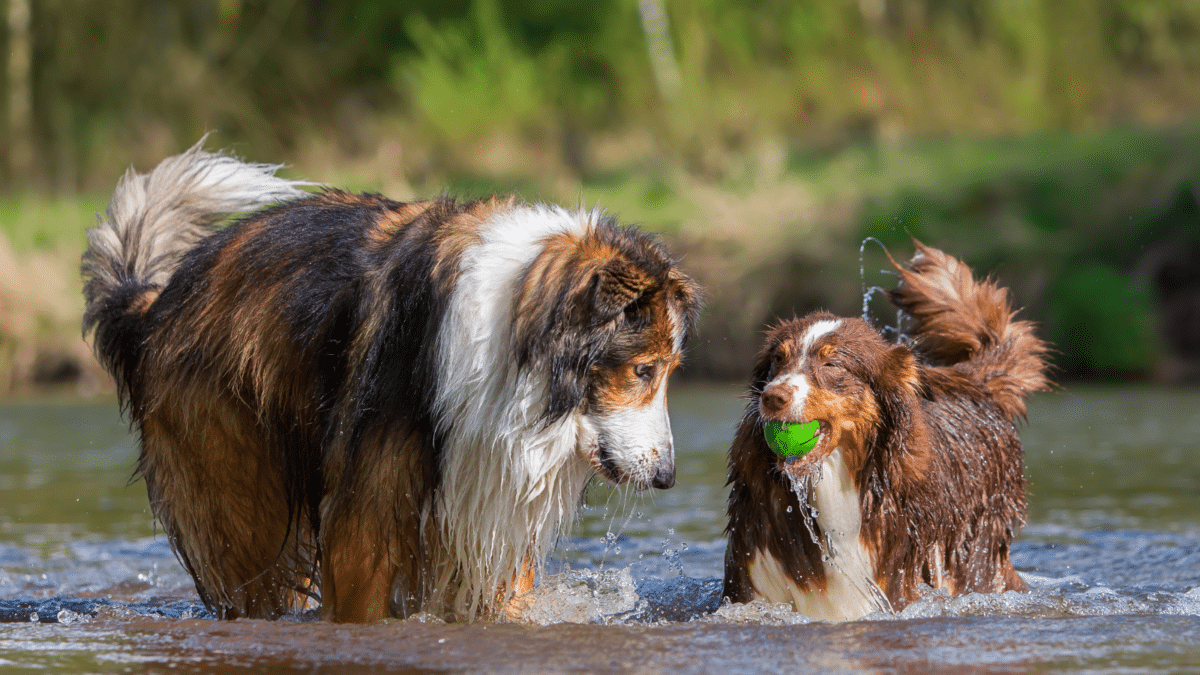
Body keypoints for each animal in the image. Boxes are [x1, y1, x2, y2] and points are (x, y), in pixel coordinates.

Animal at [82, 141, 700, 619]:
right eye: (643, 370)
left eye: (669, 372)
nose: (668, 477)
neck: (509, 338)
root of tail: (155, 303)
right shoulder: (369, 515)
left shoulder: (490, 503)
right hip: (239, 495)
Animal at [720, 241, 1051, 619]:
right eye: (778, 359)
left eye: (832, 364)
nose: (772, 397)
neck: (831, 481)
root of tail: (976, 383)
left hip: (977, 552)